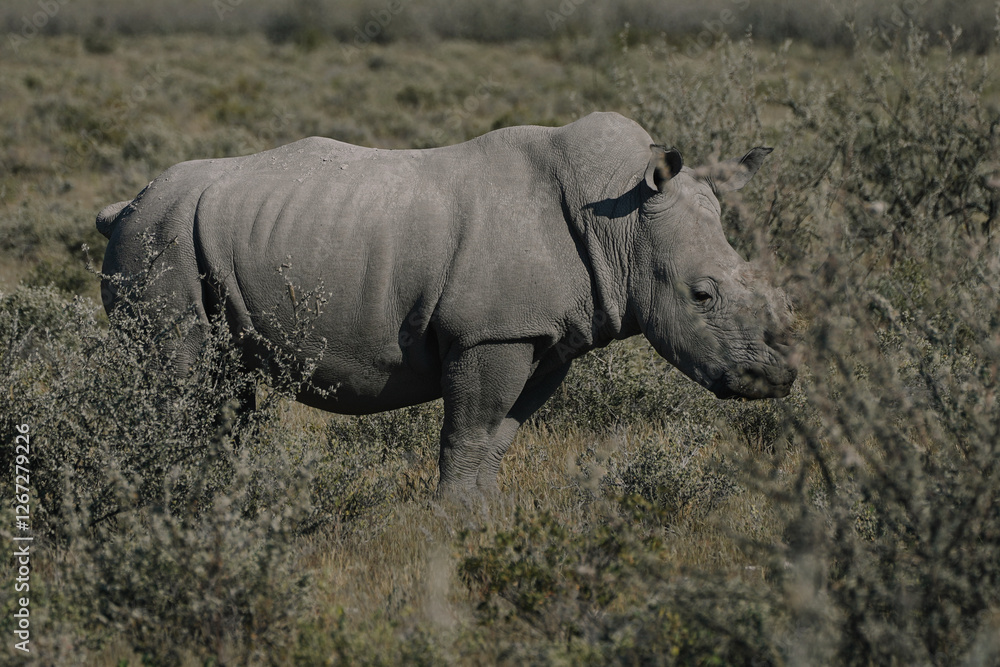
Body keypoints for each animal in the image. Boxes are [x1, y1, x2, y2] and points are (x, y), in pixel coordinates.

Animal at [97, 112, 795, 497]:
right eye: (702, 295)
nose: (778, 377)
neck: (618, 219)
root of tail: (125, 205)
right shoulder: (490, 333)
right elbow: (470, 432)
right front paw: (453, 530)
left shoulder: (546, 338)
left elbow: (499, 438)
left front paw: (485, 521)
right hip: (159, 237)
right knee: (179, 379)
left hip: (199, 236)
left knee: (226, 388)